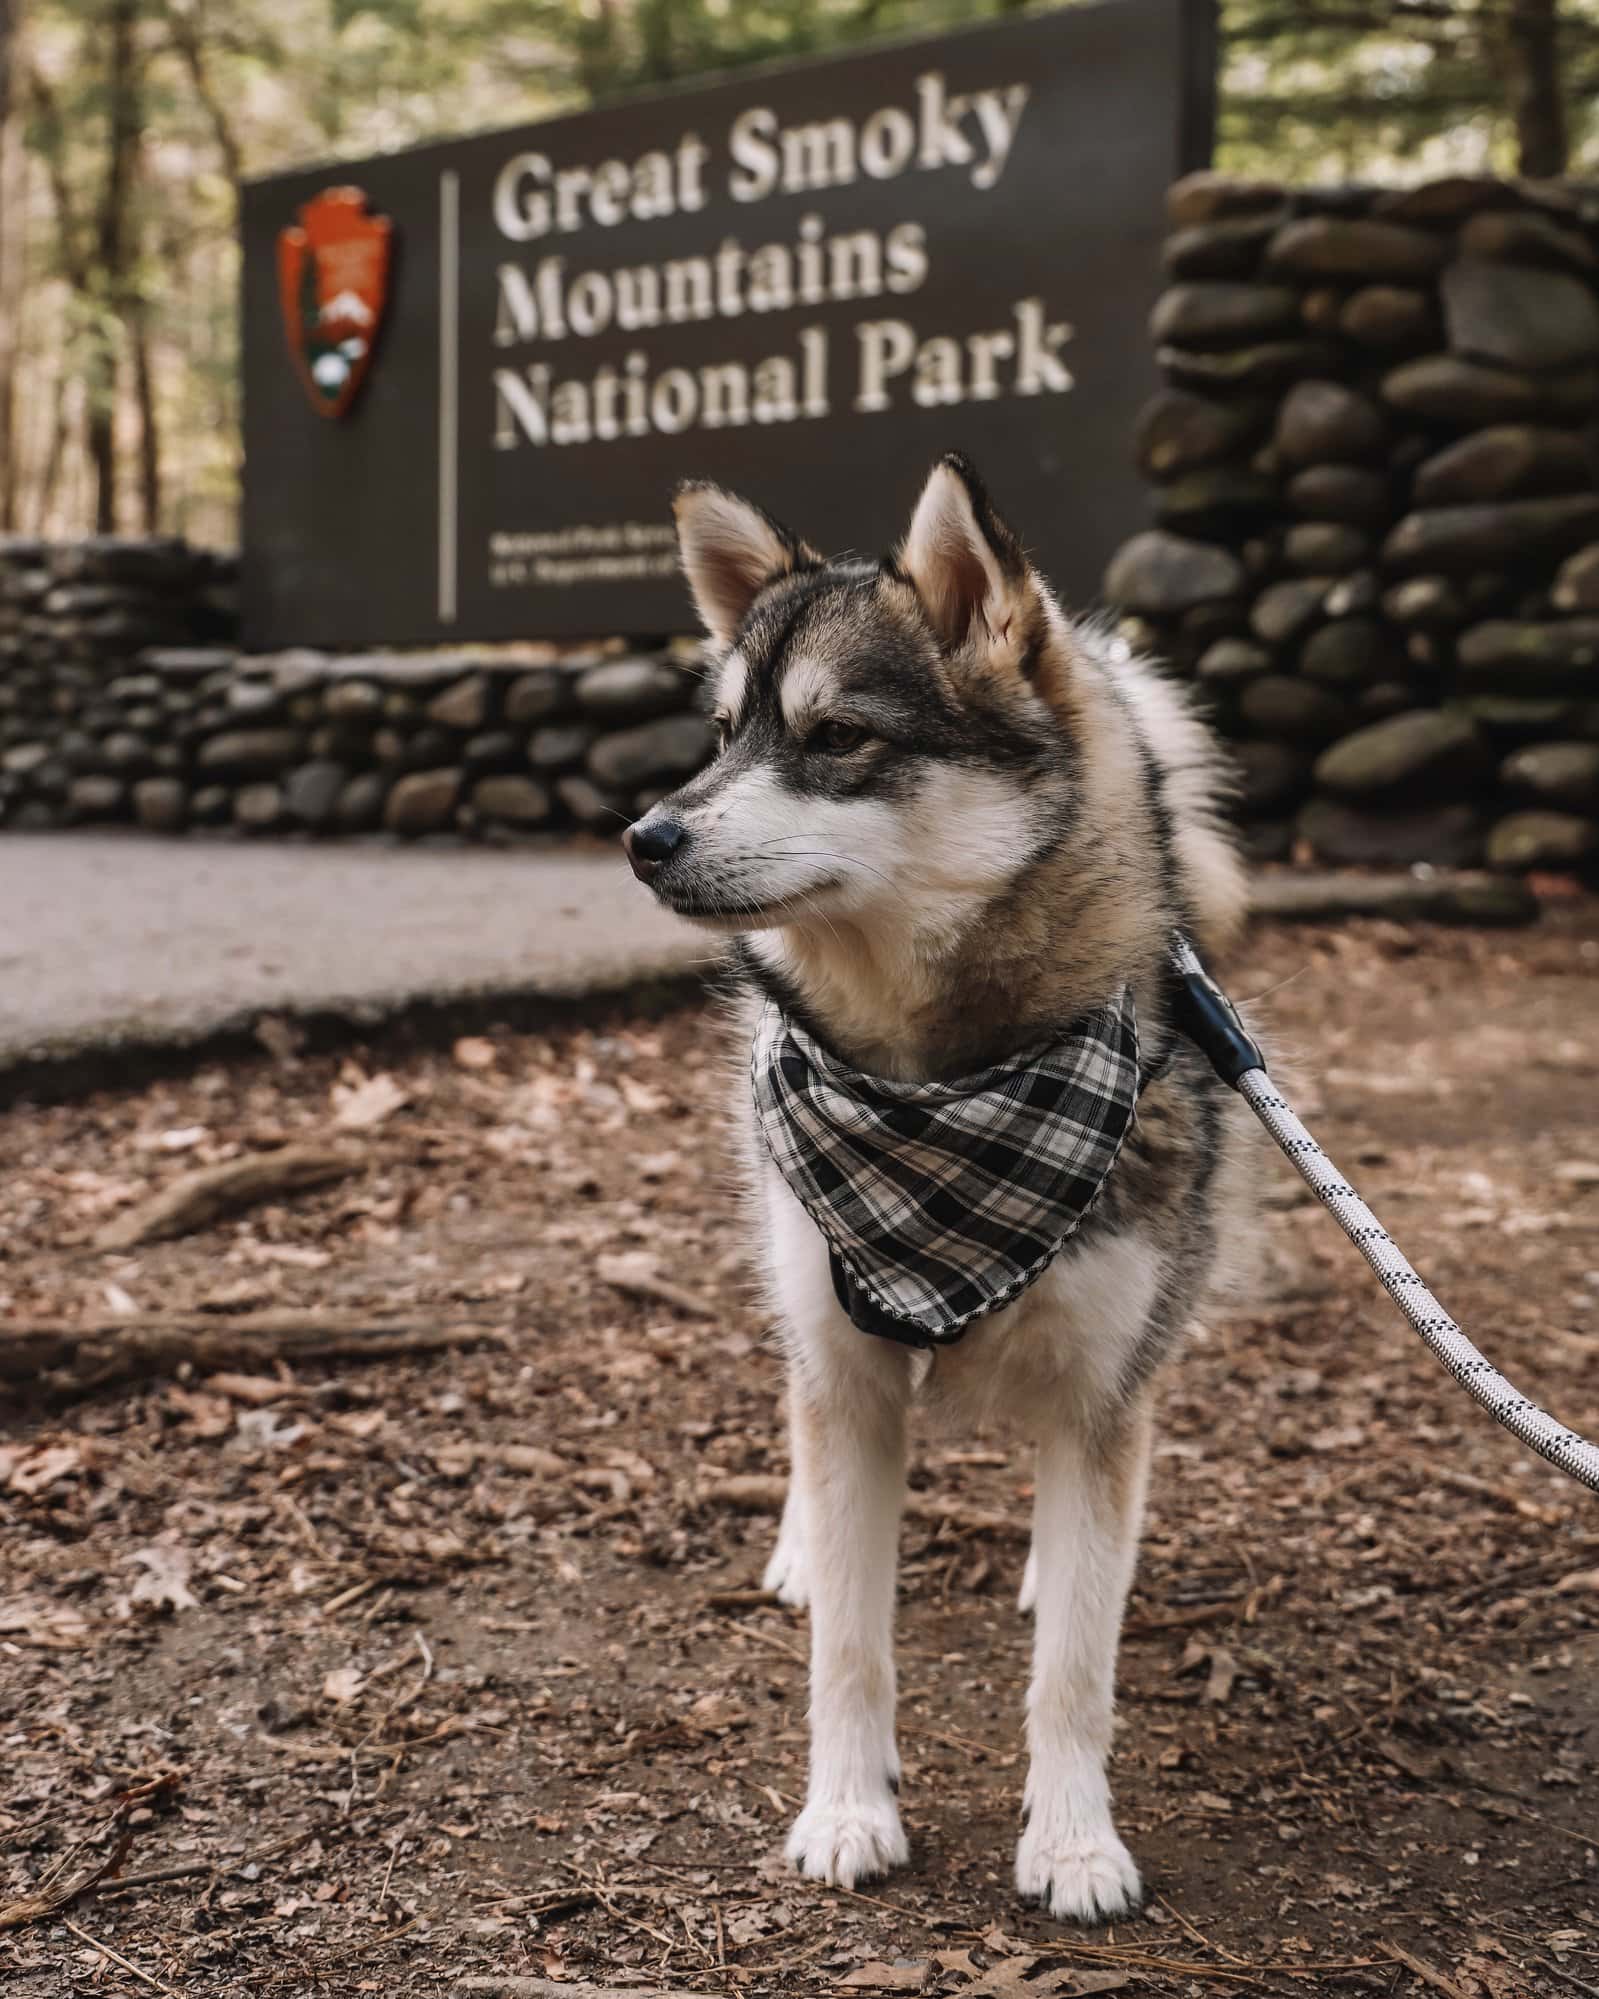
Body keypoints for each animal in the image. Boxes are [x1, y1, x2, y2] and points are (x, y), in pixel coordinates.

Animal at [619, 449, 1255, 1919]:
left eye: (835, 735)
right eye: (725, 730)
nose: (643, 835)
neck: (937, 1093)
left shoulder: (1102, 1386)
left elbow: (1075, 1666)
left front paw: (1072, 1838)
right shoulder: (847, 1370)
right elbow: (851, 1648)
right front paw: (848, 1808)